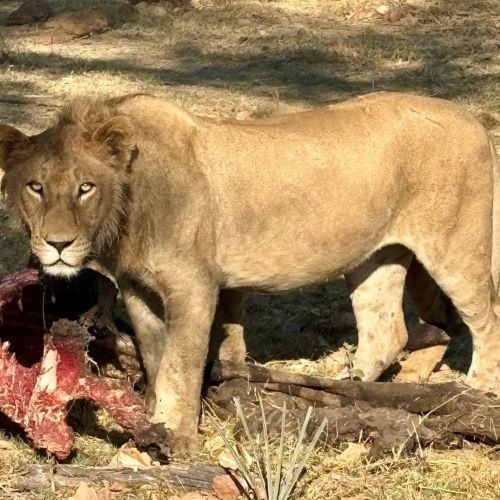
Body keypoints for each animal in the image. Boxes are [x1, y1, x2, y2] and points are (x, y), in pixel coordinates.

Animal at [0, 92, 500, 456]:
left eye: (85, 187)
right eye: (35, 187)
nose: (58, 244)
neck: (128, 207)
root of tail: (472, 119)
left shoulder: (194, 286)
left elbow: (182, 365)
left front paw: (177, 437)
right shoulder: (138, 289)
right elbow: (155, 357)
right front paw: (151, 421)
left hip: (455, 248)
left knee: (485, 320)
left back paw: (472, 396)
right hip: (375, 259)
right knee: (390, 331)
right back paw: (371, 387)